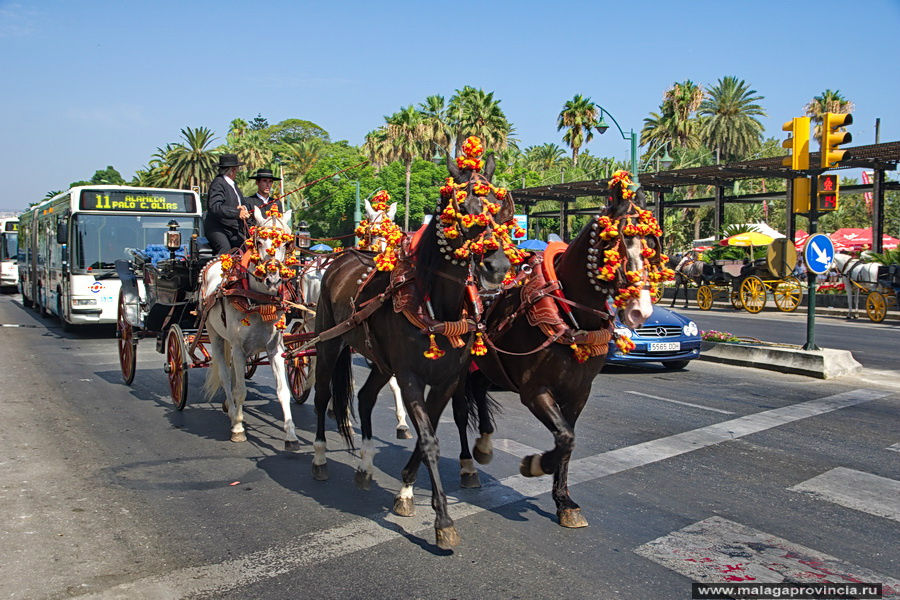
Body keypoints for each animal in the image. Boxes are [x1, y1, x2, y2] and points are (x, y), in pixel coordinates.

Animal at [199, 206, 300, 450]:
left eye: (286, 243)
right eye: (259, 241)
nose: (273, 279)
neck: (258, 299)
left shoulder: (276, 349)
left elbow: (283, 391)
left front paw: (290, 435)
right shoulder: (237, 348)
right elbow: (241, 390)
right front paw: (238, 428)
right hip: (215, 336)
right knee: (226, 376)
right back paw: (233, 413)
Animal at [312, 149, 516, 548]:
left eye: (500, 209)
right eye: (461, 208)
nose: (496, 266)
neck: (437, 306)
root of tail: (343, 257)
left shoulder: (447, 380)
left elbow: (427, 437)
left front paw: (406, 492)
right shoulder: (410, 377)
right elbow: (430, 440)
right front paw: (443, 521)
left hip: (380, 362)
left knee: (365, 398)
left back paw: (365, 465)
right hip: (330, 342)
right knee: (323, 393)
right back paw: (319, 458)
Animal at [464, 175, 660, 528]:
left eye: (652, 242)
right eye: (615, 243)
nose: (641, 311)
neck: (568, 314)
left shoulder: (579, 392)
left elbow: (567, 439)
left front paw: (564, 502)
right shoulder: (535, 391)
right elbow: (565, 437)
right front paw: (536, 465)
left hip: (490, 365)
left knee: (479, 389)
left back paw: (484, 445)